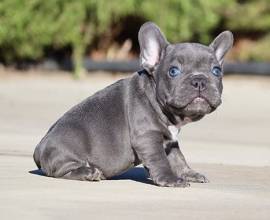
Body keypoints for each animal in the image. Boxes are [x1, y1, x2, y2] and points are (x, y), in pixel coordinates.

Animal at [33, 21, 232, 187]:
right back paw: (88, 173)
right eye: (174, 71)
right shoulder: (148, 138)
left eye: (216, 71)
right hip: (65, 154)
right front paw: (170, 179)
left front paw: (189, 174)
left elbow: (178, 159)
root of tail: (39, 148)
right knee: (61, 171)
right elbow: (161, 160)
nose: (199, 80)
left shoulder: (170, 141)